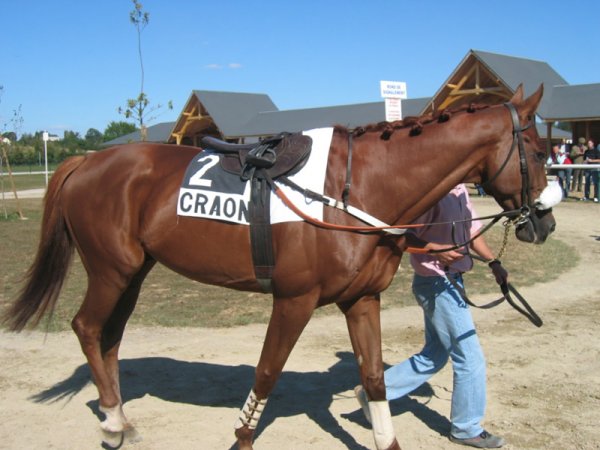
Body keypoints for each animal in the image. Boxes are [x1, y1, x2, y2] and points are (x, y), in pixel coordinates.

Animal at [5, 85, 556, 450]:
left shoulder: (362, 300)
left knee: (111, 336)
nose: (544, 222)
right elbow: (268, 372)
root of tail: (86, 162)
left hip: (134, 272)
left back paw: (117, 414)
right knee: (87, 327)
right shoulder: (294, 300)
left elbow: (374, 378)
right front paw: (242, 436)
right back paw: (113, 424)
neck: (354, 189)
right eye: (536, 150)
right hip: (111, 270)